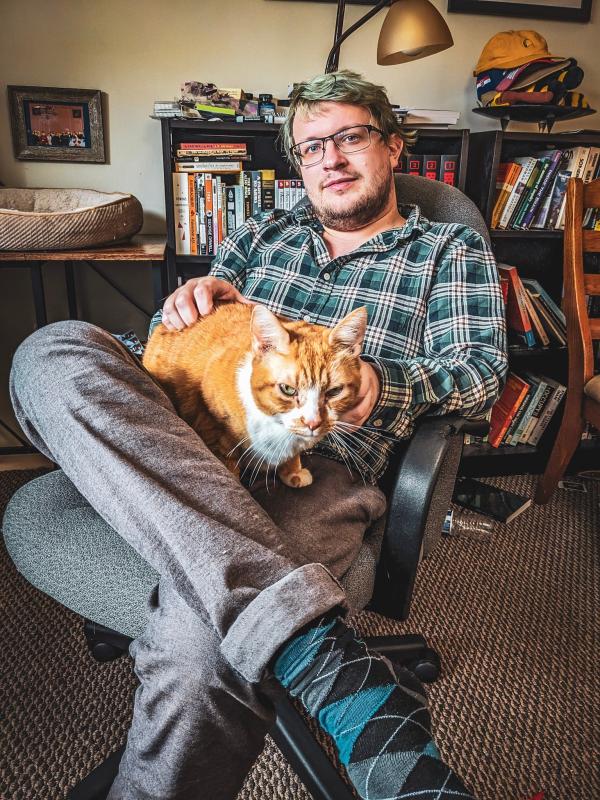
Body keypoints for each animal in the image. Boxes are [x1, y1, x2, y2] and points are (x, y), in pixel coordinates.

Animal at [142, 302, 366, 484]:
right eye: (288, 389)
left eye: (334, 391)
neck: (276, 425)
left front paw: (292, 470)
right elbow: (227, 461)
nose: (313, 423)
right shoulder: (212, 426)